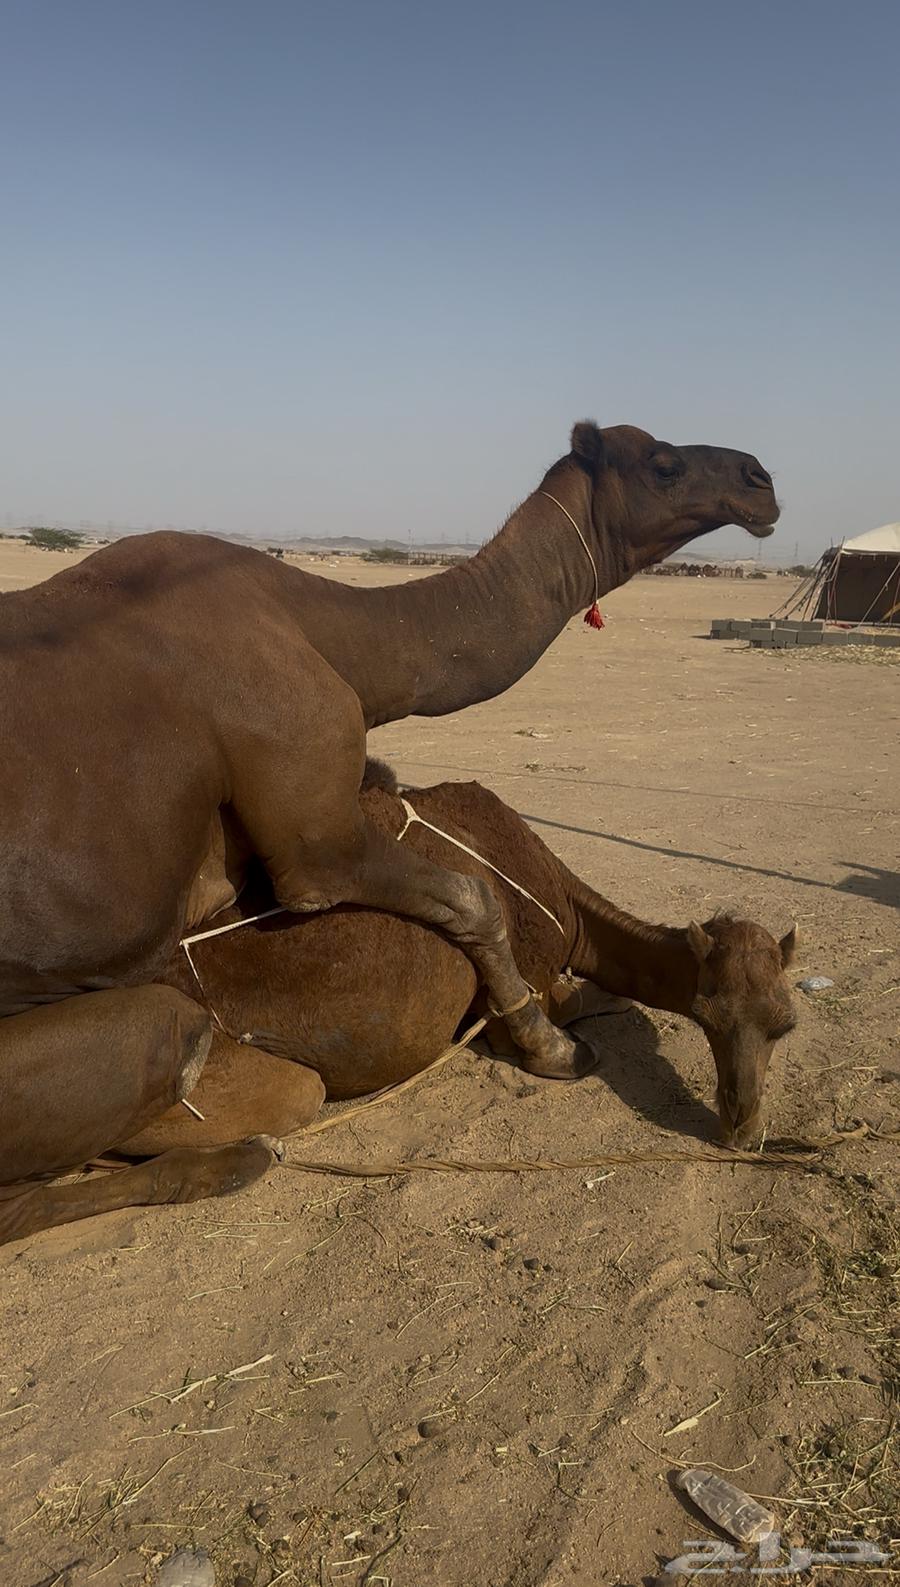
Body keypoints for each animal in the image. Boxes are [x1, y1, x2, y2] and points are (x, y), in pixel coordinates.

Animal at [0, 422, 779, 1122]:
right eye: (664, 463)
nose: (761, 480)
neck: (339, 636)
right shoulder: (315, 838)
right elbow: (473, 897)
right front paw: (550, 1045)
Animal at [0, 764, 797, 1244]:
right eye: (715, 1018)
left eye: (784, 1025)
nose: (744, 1125)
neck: (567, 901)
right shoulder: (523, 992)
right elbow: (569, 1010)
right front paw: (565, 1048)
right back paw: (231, 1163)